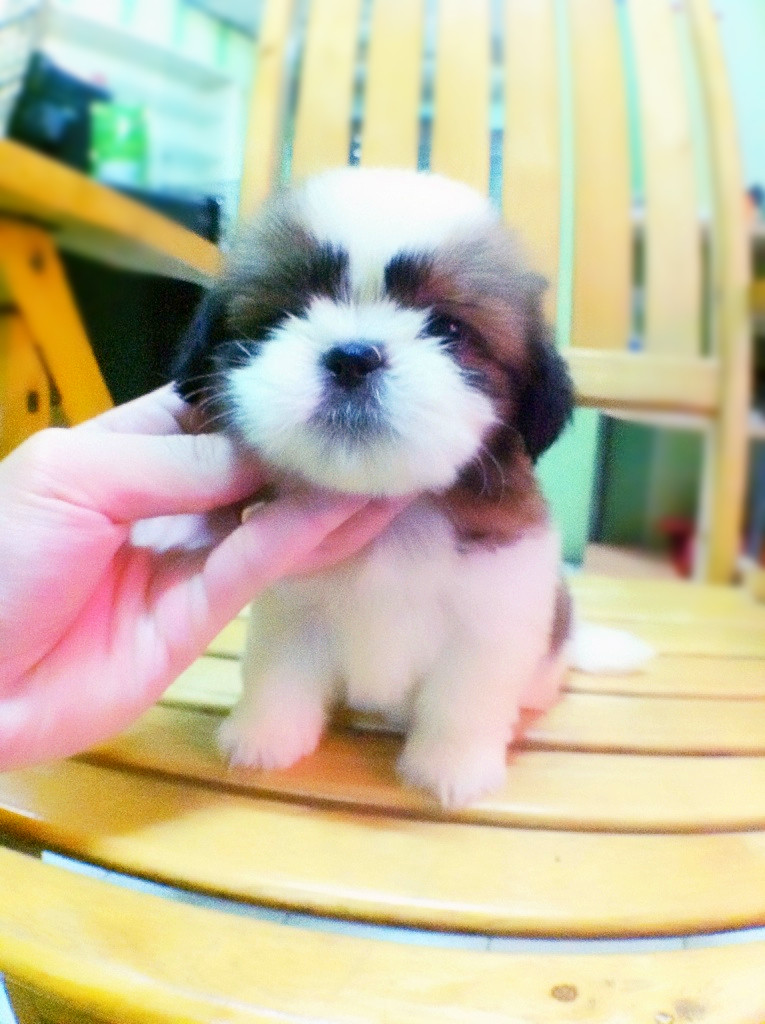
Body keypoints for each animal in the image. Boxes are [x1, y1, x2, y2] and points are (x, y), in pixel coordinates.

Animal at [174, 167, 650, 808]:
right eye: (287, 314)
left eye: (447, 328)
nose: (353, 356)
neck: (394, 516)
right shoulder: (291, 609)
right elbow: (279, 673)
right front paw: (265, 736)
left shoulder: (491, 620)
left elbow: (463, 702)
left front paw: (450, 768)